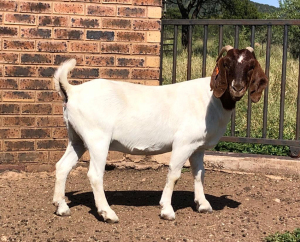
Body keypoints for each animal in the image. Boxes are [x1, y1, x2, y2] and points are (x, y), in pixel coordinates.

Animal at [52, 45, 268, 223]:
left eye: (251, 65)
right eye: (226, 63)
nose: (237, 87)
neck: (211, 99)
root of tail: (72, 91)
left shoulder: (198, 147)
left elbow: (199, 174)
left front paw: (204, 205)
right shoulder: (184, 142)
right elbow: (174, 174)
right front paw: (167, 210)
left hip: (77, 138)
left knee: (62, 166)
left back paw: (61, 207)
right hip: (97, 138)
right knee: (95, 174)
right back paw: (108, 214)